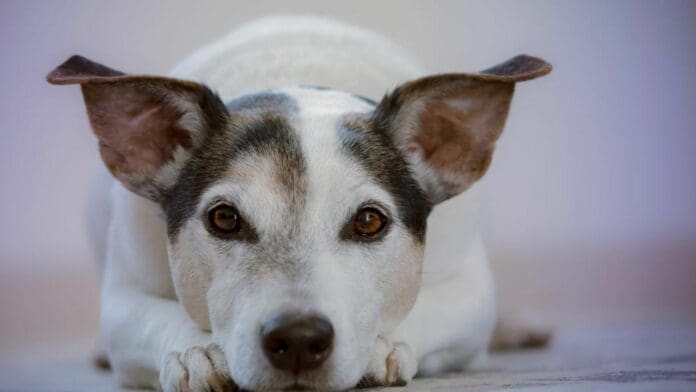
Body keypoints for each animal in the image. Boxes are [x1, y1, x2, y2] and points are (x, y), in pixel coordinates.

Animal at [47, 16, 548, 392]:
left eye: (369, 221)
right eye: (224, 218)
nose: (300, 339)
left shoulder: (471, 291)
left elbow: (430, 307)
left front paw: (382, 345)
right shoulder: (123, 296)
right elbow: (151, 316)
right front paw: (197, 350)